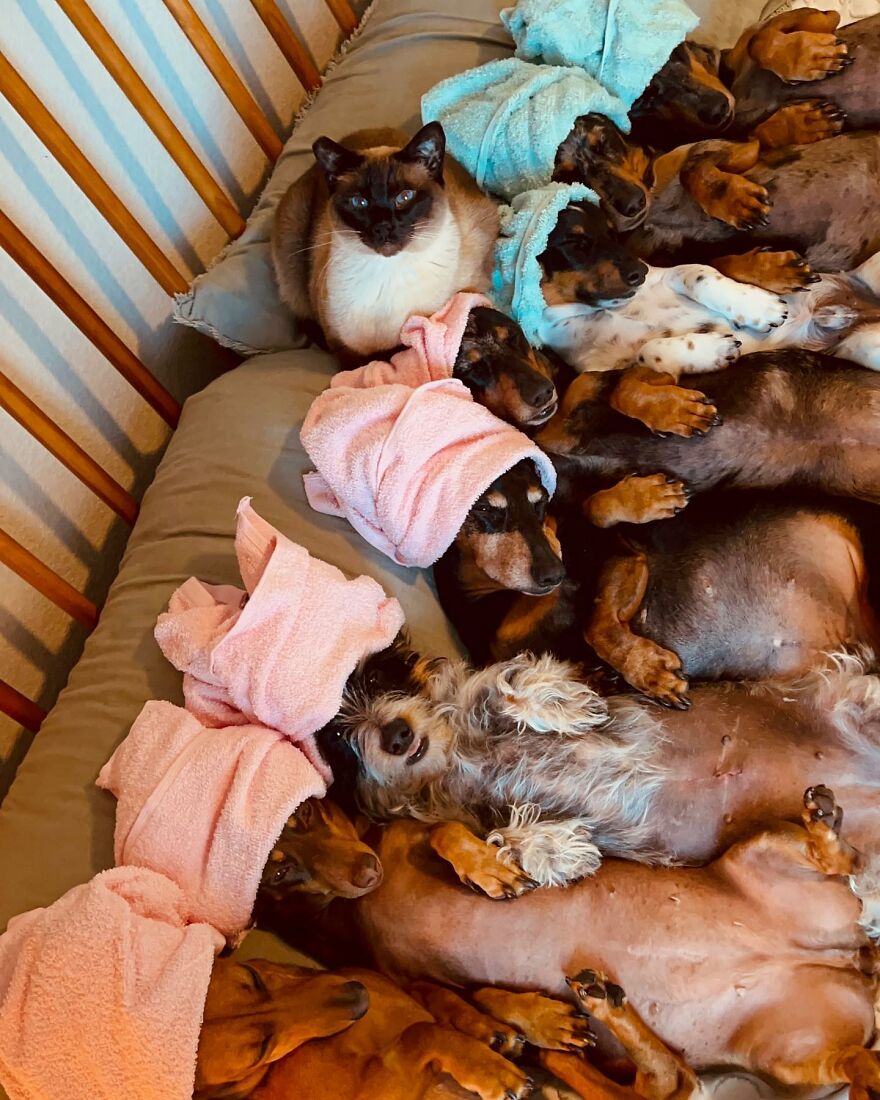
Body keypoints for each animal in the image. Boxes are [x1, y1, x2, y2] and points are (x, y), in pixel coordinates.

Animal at [271, 122, 499, 365]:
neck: (389, 274)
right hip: (290, 248)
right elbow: (365, 363)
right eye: (359, 202)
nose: (382, 228)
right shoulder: (344, 350)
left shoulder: (469, 293)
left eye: (404, 197)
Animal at [537, 201, 880, 381]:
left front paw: (759, 308)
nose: (640, 271)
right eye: (575, 244)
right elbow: (647, 350)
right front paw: (714, 351)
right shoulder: (603, 372)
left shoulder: (671, 274)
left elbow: (702, 275)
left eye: (613, 234)